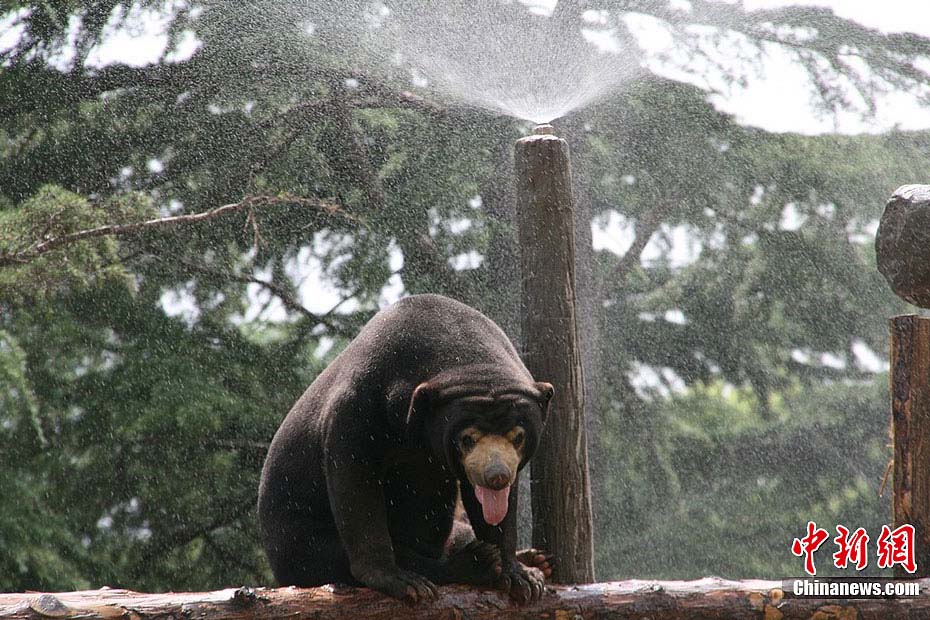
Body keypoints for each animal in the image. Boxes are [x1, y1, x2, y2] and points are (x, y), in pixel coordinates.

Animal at [258, 294, 552, 604]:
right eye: (467, 438)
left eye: (517, 436)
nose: (496, 476)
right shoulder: (356, 407)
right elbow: (355, 483)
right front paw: (394, 579)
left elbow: (497, 507)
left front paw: (519, 575)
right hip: (300, 543)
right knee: (337, 555)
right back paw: (470, 565)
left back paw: (534, 561)